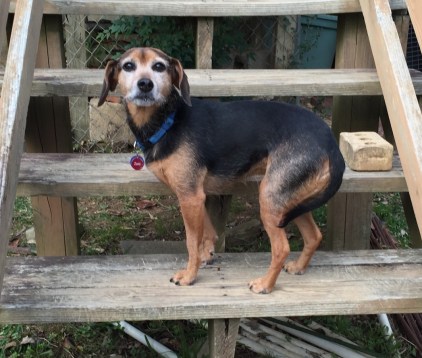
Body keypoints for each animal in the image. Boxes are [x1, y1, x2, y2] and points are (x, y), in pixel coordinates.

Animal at [99, 47, 346, 294]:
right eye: (128, 66)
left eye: (159, 66)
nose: (145, 84)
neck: (168, 119)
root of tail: (332, 144)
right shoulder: (197, 196)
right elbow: (208, 233)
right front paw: (205, 257)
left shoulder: (189, 196)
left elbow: (191, 241)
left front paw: (189, 275)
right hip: (290, 199)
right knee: (314, 236)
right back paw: (298, 267)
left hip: (270, 197)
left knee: (282, 248)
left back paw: (265, 284)